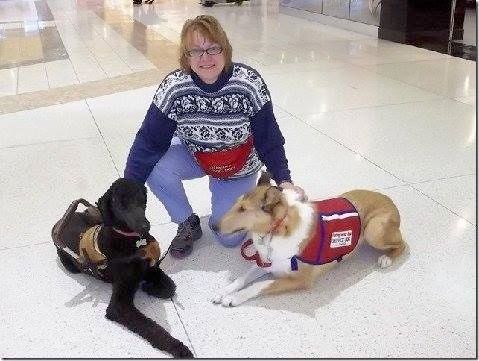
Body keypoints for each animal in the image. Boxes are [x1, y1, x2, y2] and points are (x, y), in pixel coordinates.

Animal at [52, 177, 193, 358]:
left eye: (142, 199)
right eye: (120, 203)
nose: (145, 226)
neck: (130, 241)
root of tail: (59, 222)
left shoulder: (150, 268)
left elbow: (170, 286)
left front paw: (150, 288)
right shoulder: (119, 306)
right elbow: (151, 327)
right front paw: (178, 348)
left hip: (96, 217)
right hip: (71, 265)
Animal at [212, 170, 406, 306]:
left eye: (243, 209)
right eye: (236, 204)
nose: (213, 226)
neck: (275, 232)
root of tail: (389, 199)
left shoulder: (300, 280)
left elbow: (259, 285)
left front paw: (234, 298)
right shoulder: (268, 262)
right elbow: (242, 278)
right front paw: (224, 291)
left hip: (374, 229)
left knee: (403, 244)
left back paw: (387, 258)